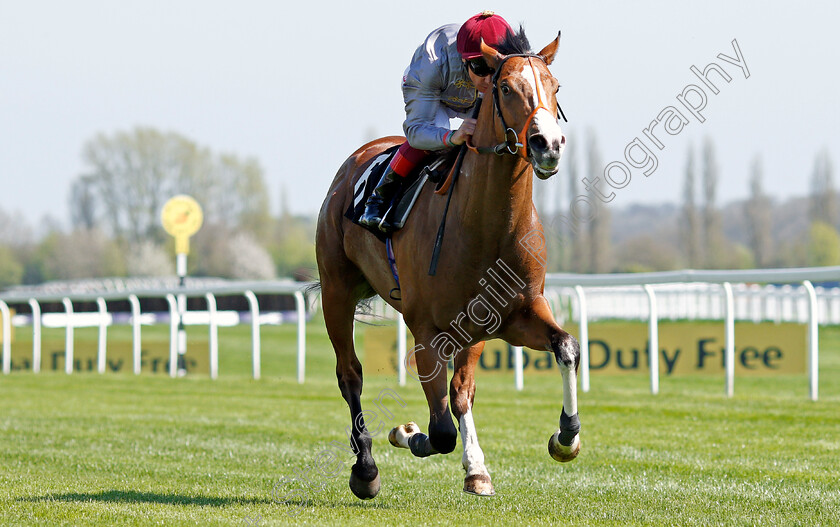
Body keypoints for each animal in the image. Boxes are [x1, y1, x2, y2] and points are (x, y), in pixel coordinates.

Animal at [314, 27, 576, 500]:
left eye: (555, 87)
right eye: (505, 88)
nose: (548, 145)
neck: (486, 227)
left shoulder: (513, 315)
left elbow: (564, 346)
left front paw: (564, 438)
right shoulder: (426, 330)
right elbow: (439, 432)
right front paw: (405, 432)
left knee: (460, 392)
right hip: (336, 290)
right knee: (350, 374)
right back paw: (365, 469)